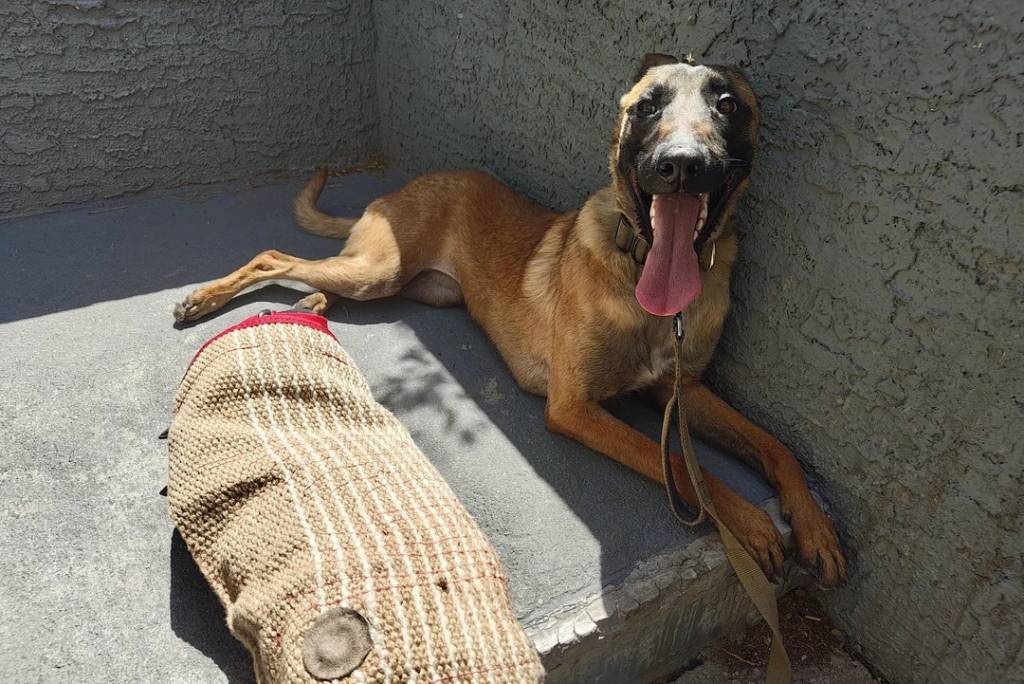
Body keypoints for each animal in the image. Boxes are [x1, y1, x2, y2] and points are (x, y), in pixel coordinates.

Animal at [174, 54, 846, 584]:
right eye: (647, 105)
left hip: (399, 283)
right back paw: (204, 299)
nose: (681, 164)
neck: (644, 280)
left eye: (728, 104)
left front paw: (814, 524)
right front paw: (754, 523)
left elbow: (775, 444)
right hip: (379, 269)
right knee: (274, 255)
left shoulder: (680, 389)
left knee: (319, 277)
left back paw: (311, 306)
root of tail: (398, 190)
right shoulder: (574, 407)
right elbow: (684, 465)